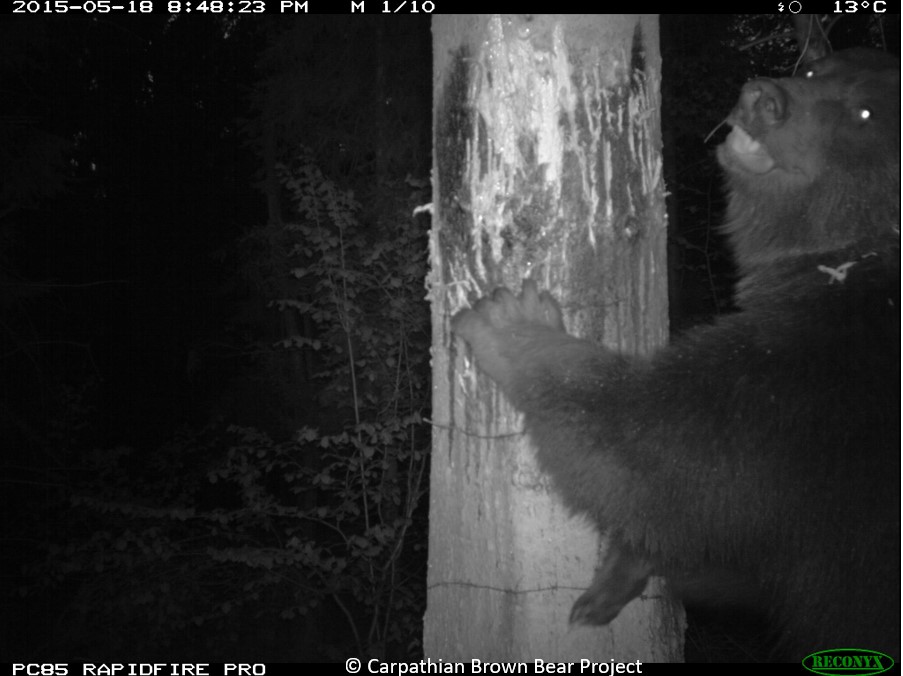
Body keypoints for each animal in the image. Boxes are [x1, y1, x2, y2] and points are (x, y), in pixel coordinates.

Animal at [452, 48, 900, 659]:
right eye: (814, 71)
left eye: (865, 112)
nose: (764, 98)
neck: (850, 259)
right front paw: (617, 576)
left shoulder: (820, 391)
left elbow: (656, 447)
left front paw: (511, 320)